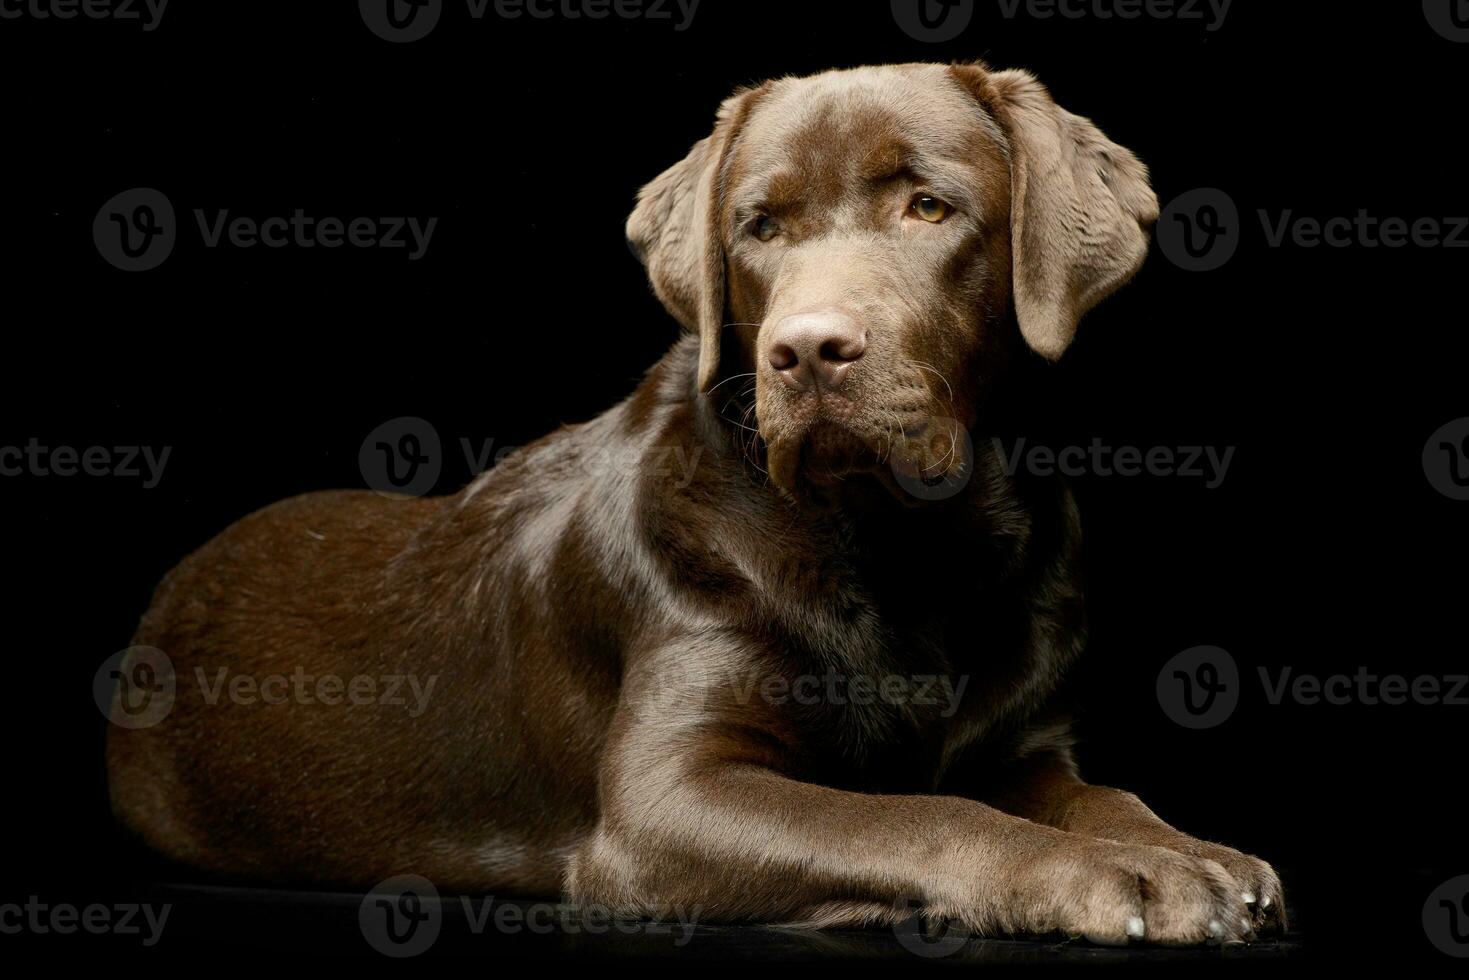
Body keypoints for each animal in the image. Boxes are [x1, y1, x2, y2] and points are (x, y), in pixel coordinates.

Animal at [108, 59, 1286, 940]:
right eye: (758, 226)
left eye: (928, 206)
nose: (805, 350)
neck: (903, 547)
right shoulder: (667, 799)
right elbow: (920, 815)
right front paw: (1109, 875)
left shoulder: (1027, 745)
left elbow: (1103, 797)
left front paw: (1191, 854)